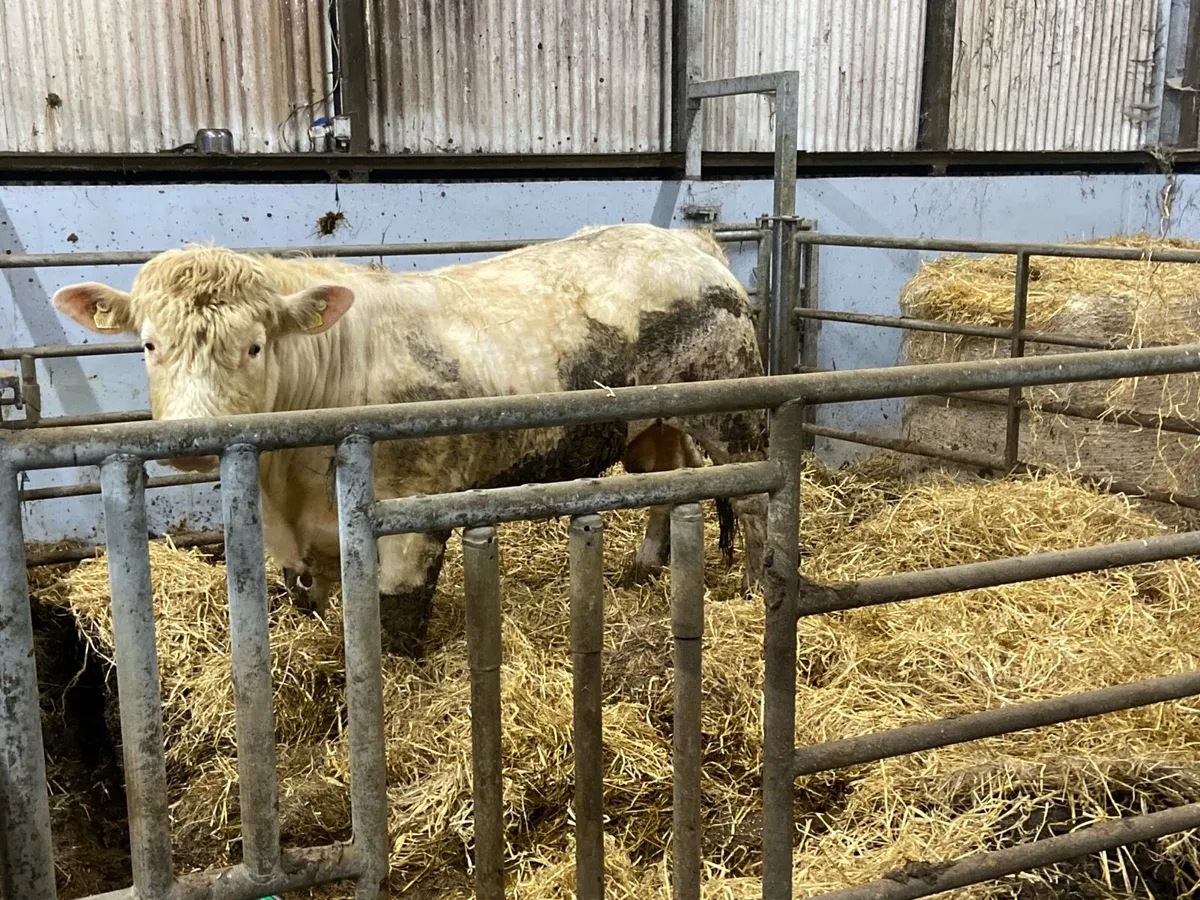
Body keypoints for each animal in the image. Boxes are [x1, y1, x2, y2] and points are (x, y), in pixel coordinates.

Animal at [52, 223, 768, 657]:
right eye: (149, 345)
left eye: (254, 347)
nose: (194, 441)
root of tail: (687, 240)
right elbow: (324, 606)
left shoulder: (410, 509)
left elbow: (395, 617)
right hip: (653, 424)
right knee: (670, 487)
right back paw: (644, 567)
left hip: (734, 413)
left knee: (757, 496)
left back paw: (754, 588)